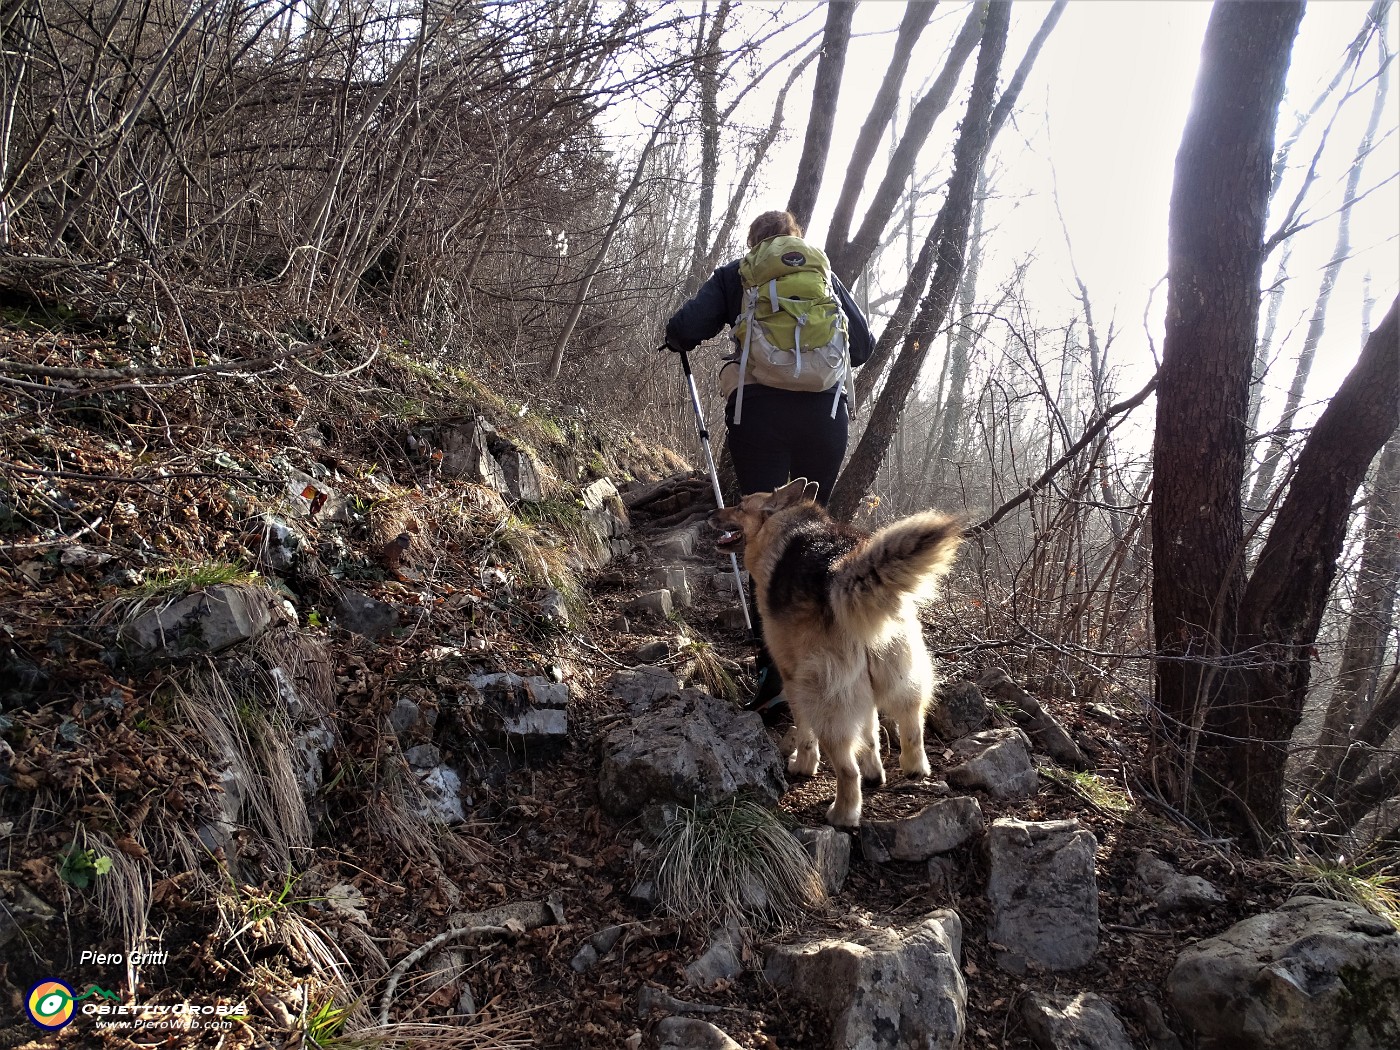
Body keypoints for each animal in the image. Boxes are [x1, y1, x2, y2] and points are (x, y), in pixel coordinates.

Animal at [711, 478, 963, 828]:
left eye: (740, 504)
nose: (711, 513)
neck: (785, 524)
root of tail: (841, 570)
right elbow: (870, 734)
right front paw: (875, 771)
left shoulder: (792, 678)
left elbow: (804, 732)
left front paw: (803, 763)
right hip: (898, 674)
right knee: (911, 725)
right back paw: (913, 767)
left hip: (824, 697)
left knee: (846, 768)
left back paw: (843, 812)